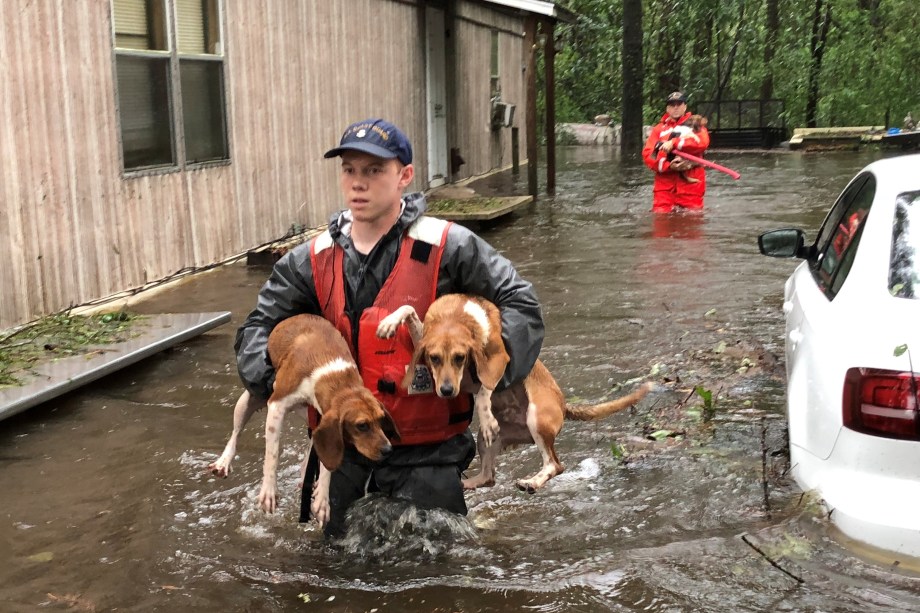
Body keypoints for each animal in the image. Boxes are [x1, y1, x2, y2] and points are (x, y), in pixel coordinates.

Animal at [210, 316, 398, 524]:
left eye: (381, 420)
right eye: (362, 426)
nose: (388, 450)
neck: (334, 376)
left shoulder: (324, 421)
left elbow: (326, 463)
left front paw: (323, 499)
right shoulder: (276, 405)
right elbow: (272, 455)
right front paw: (269, 491)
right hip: (246, 401)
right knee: (235, 434)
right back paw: (224, 461)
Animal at [376, 296, 656, 492]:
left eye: (460, 358)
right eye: (434, 359)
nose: (446, 391)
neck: (456, 317)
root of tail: (564, 404)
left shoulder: (499, 363)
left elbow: (483, 390)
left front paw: (486, 414)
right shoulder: (424, 339)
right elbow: (408, 309)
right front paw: (389, 323)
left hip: (537, 420)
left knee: (555, 464)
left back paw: (531, 482)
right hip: (486, 442)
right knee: (489, 477)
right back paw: (468, 483)